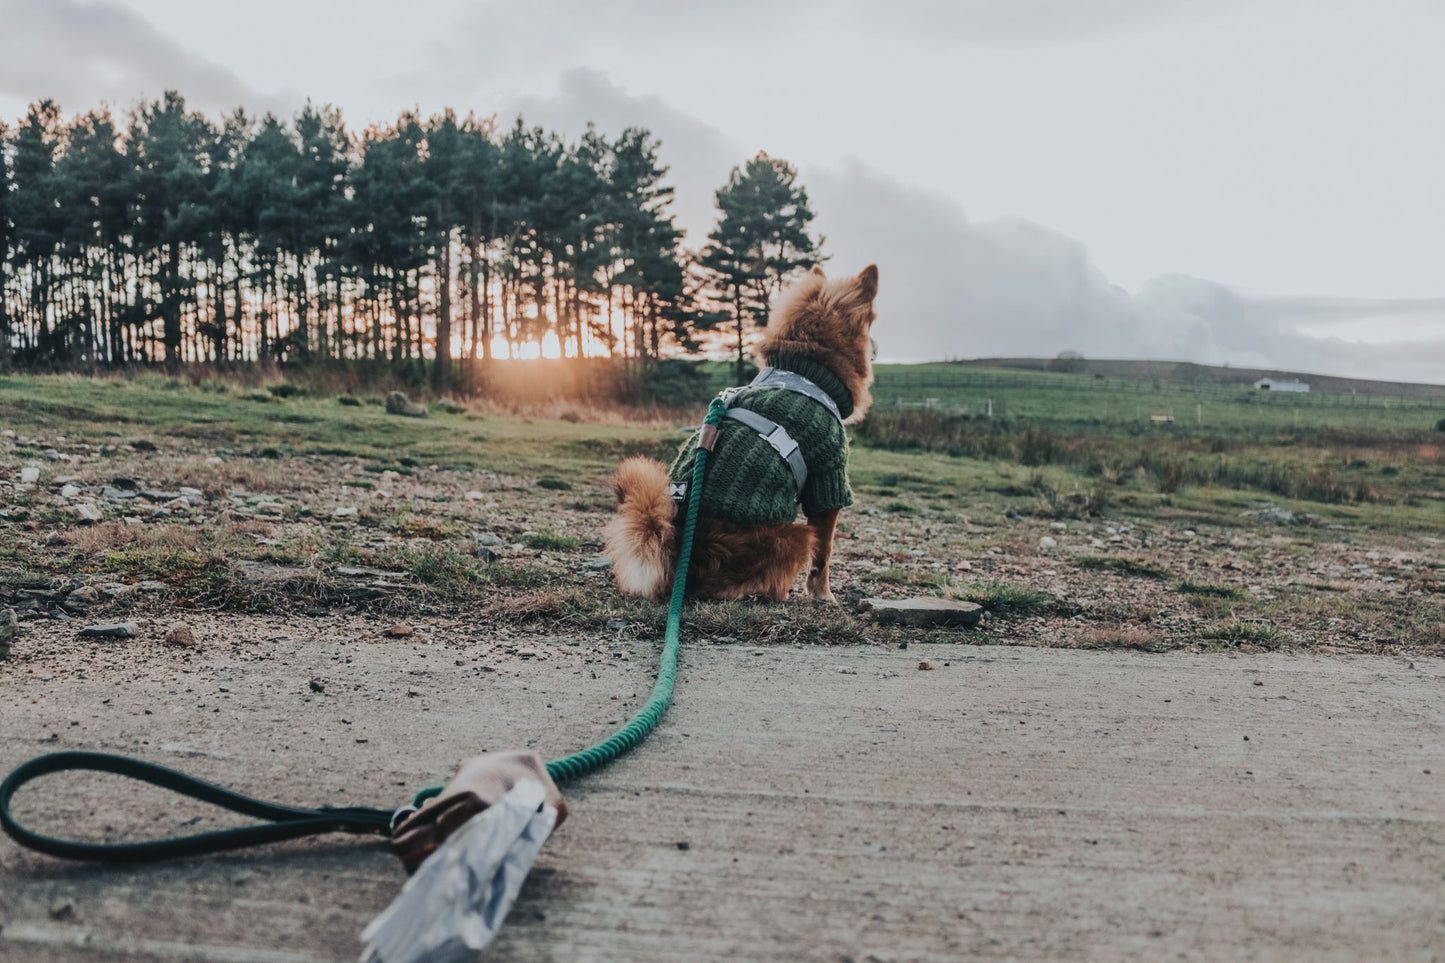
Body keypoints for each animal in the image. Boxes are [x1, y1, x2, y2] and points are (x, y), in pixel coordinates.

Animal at [601, 263, 872, 601]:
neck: (804, 373)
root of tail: (679, 560)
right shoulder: (829, 476)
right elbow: (824, 553)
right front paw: (823, 595)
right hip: (795, 533)